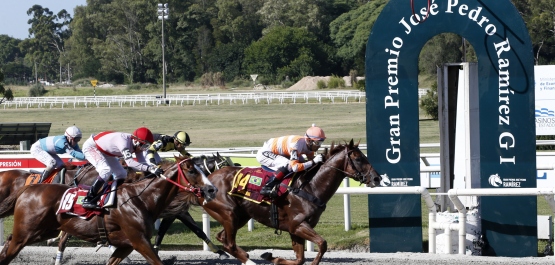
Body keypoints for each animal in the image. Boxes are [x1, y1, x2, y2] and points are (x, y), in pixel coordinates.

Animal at [0, 157, 217, 264]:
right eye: (191, 170)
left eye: (202, 169)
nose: (211, 189)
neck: (141, 199)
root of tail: (28, 188)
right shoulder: (139, 240)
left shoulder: (125, 244)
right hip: (26, 233)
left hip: (43, 231)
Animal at [199, 139, 382, 262]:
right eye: (359, 159)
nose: (377, 178)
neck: (310, 186)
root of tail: (208, 178)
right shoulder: (298, 225)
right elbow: (322, 244)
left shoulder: (295, 230)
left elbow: (300, 259)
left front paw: (271, 256)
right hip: (228, 213)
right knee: (229, 244)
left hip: (240, 216)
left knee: (223, 238)